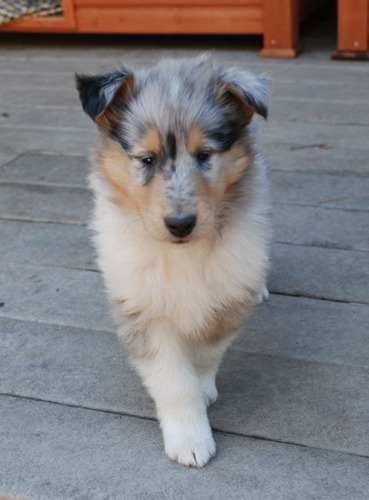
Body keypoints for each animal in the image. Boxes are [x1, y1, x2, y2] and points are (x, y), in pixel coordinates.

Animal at [75, 55, 270, 468]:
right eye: (146, 160)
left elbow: (205, 355)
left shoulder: (225, 296)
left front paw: (203, 388)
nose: (180, 224)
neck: (183, 253)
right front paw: (190, 440)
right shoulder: (142, 307)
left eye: (205, 155)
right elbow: (173, 380)